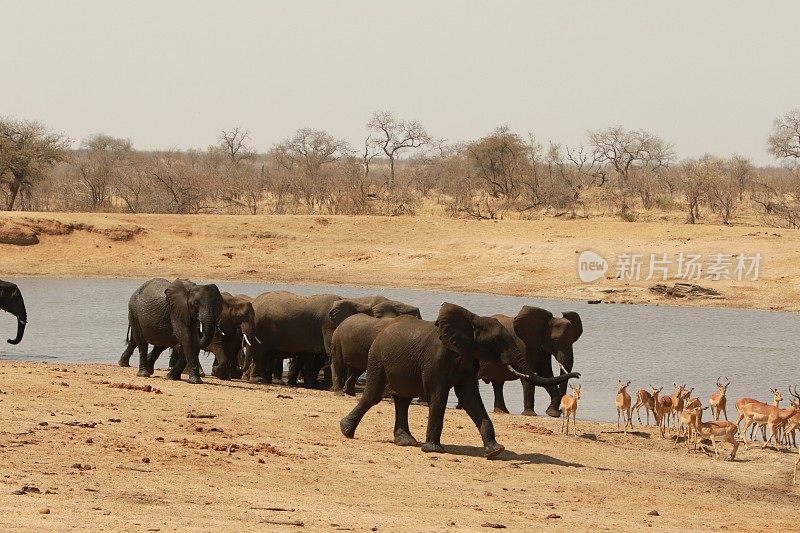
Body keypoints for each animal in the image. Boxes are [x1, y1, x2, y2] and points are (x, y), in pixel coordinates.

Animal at [340, 302, 580, 456]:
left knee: (402, 400)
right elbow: (439, 396)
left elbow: (471, 398)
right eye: (496, 342)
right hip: (377, 359)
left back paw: (405, 442)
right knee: (373, 396)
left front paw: (496, 451)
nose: (578, 374)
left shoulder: (468, 360)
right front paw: (433, 450)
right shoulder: (435, 360)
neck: (471, 322)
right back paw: (346, 431)